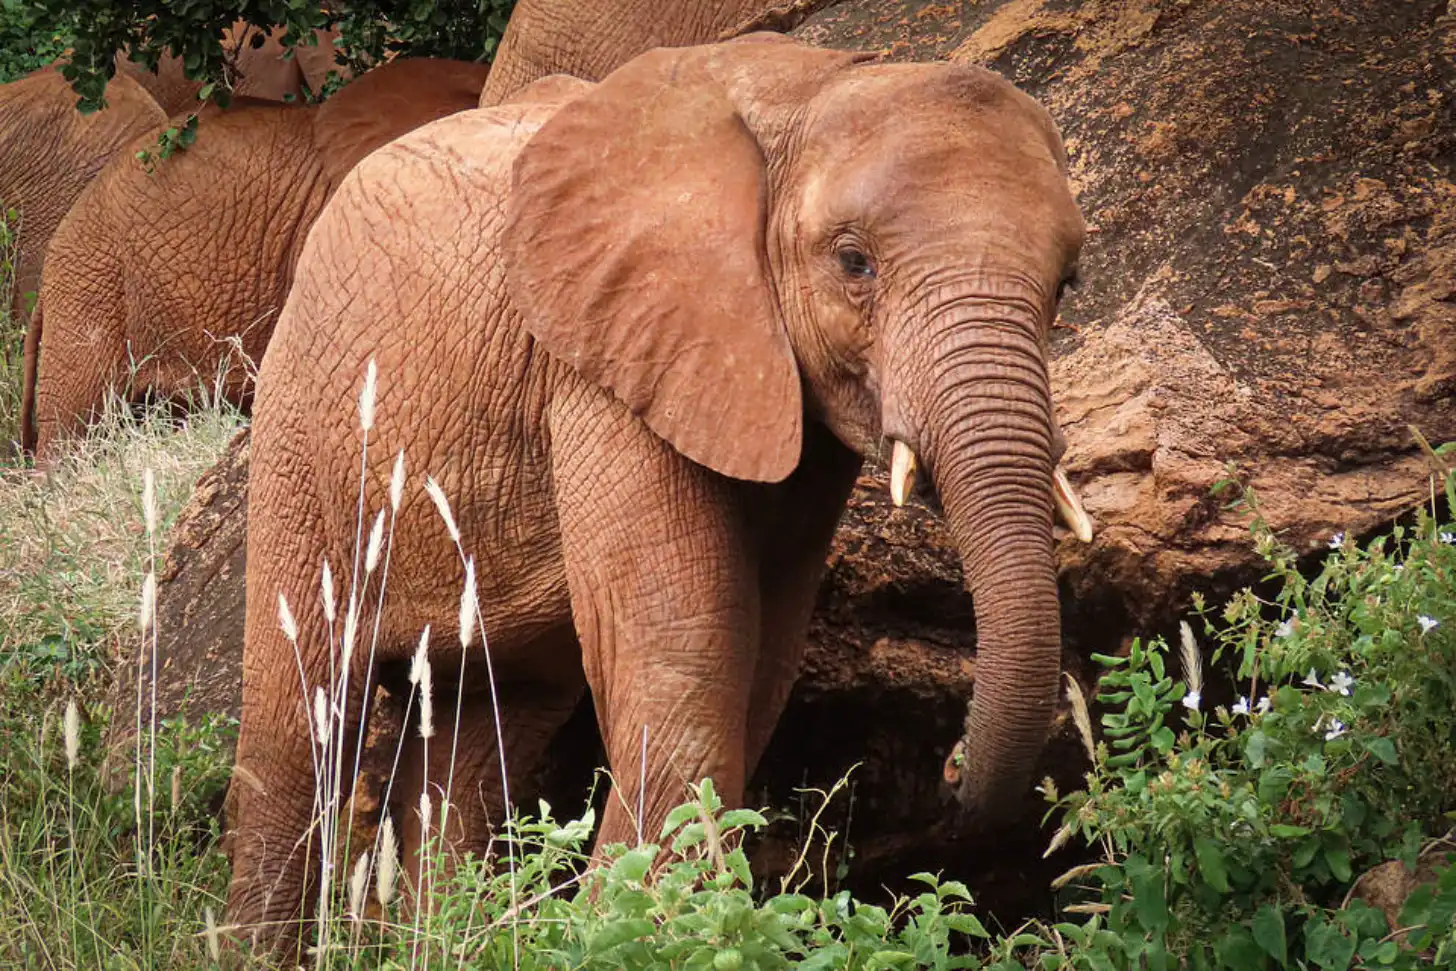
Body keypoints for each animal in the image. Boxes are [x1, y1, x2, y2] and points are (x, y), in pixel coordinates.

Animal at [227, 34, 1090, 954]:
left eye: (1067, 283)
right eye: (854, 261)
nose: (951, 767)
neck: (812, 86)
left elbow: (763, 655)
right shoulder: (606, 359)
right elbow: (691, 643)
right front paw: (629, 929)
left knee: (481, 729)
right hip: (300, 424)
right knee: (300, 719)